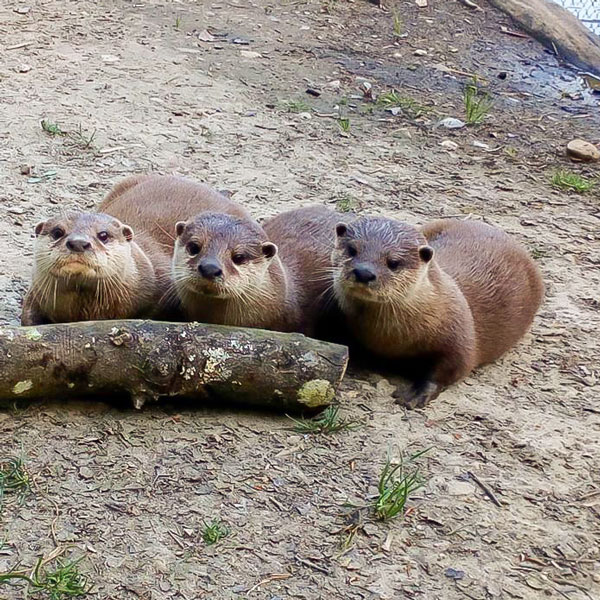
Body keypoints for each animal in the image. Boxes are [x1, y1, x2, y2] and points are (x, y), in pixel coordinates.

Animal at [332, 217, 544, 408]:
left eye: (393, 262)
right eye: (352, 250)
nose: (364, 272)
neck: (389, 338)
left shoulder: (459, 334)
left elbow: (452, 367)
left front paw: (416, 394)